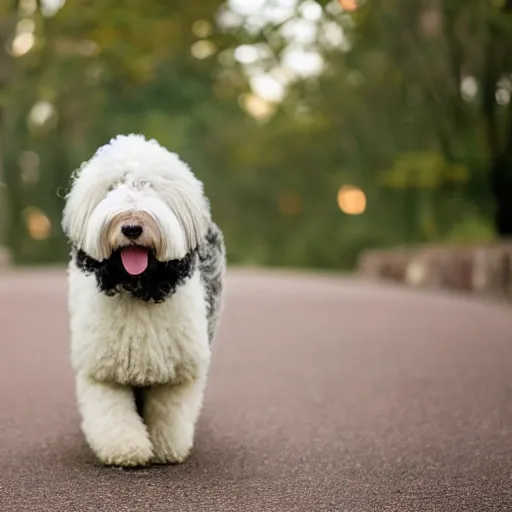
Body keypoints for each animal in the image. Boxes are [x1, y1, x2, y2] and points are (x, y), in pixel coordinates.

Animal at [61, 135, 225, 468]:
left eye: (149, 185)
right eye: (113, 186)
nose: (131, 227)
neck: (138, 284)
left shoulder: (178, 373)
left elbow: (169, 416)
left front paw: (166, 449)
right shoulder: (103, 373)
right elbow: (113, 417)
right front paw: (126, 450)